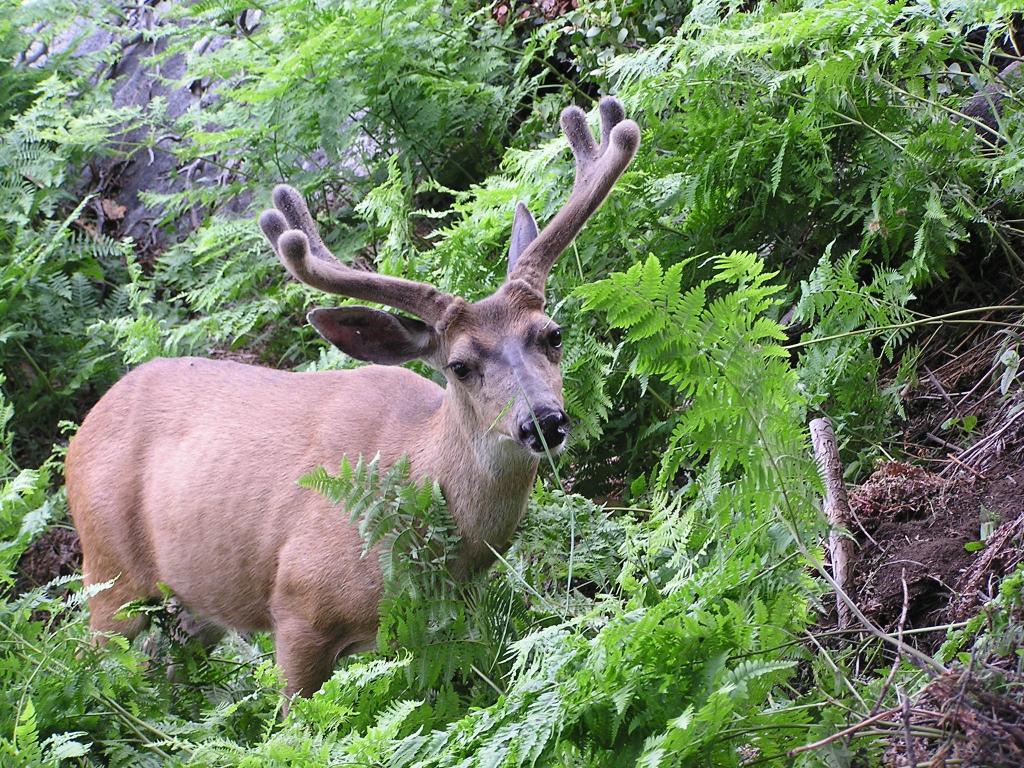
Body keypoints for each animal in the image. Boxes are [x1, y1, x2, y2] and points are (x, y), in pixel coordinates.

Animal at [64, 94, 634, 696]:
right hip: (109, 573)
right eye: (459, 366)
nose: (542, 422)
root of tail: (82, 434)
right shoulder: (298, 606)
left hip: (194, 603)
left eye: (553, 334)